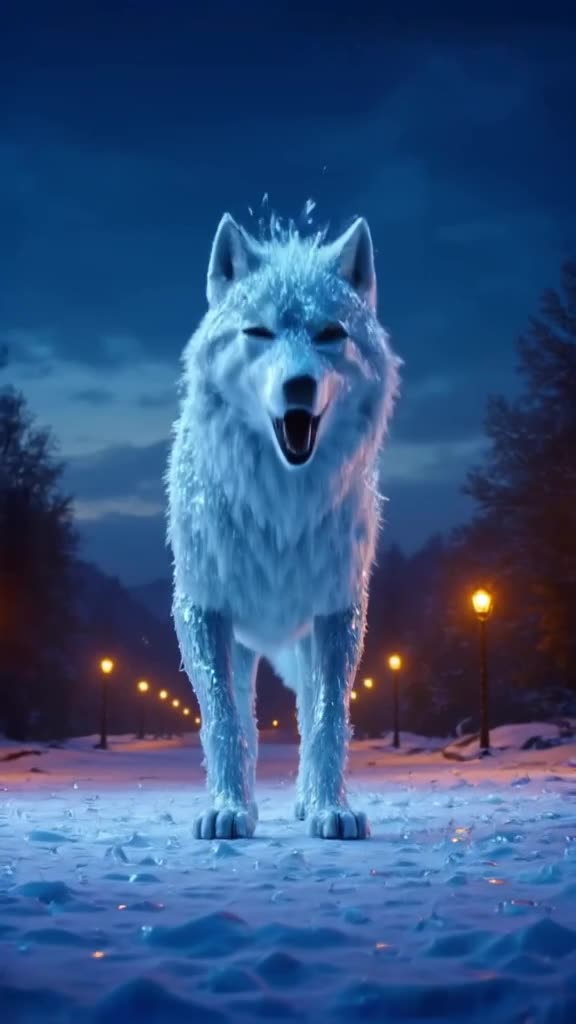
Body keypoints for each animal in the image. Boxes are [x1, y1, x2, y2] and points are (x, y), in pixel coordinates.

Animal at [166, 211, 400, 840]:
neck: (280, 509)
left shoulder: (338, 614)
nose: (299, 385)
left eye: (330, 334)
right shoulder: (202, 611)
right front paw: (228, 810)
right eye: (259, 333)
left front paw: (330, 811)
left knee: (306, 710)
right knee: (246, 722)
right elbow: (224, 721)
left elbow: (327, 721)